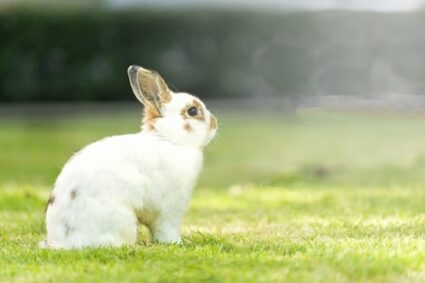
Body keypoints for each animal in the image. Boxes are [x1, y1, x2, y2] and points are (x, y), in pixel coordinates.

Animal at [40, 65, 217, 250]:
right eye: (192, 111)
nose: (215, 123)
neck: (169, 139)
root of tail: (62, 241)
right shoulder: (169, 210)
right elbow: (166, 230)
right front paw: (176, 243)